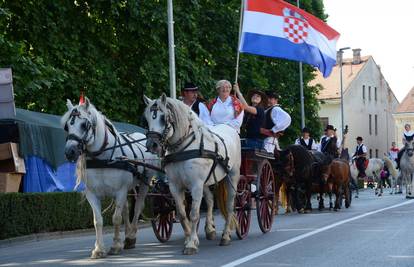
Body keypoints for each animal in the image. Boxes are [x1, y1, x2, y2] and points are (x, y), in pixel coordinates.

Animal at [61, 97, 158, 258]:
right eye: (67, 126)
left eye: (84, 125)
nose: (70, 152)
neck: (103, 157)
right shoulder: (92, 194)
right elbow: (98, 220)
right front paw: (99, 249)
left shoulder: (120, 191)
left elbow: (116, 218)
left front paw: (115, 246)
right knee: (126, 209)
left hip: (144, 182)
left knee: (138, 207)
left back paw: (131, 237)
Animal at [143, 94, 241, 255]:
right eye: (147, 118)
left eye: (163, 118)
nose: (152, 145)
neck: (183, 148)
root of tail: (228, 127)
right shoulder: (175, 186)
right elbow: (183, 215)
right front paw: (190, 239)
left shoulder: (196, 185)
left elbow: (194, 214)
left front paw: (191, 244)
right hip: (207, 182)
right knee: (210, 200)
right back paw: (210, 230)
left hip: (232, 176)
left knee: (230, 206)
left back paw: (225, 236)